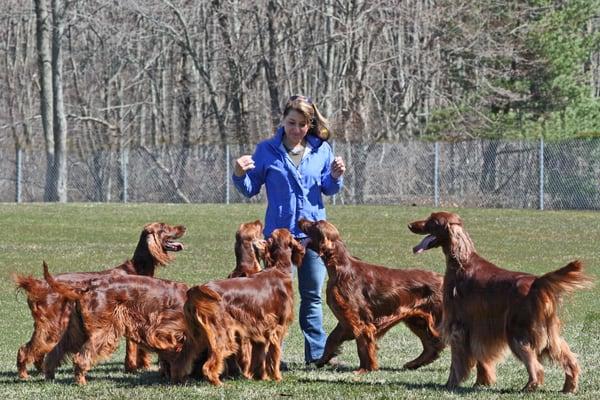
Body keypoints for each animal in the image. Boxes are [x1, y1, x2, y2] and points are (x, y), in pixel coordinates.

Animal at [11, 222, 184, 378]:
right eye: (165, 227)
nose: (183, 227)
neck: (136, 268)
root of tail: (38, 283)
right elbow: (134, 349)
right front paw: (135, 368)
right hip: (53, 326)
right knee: (27, 350)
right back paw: (25, 375)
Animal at [298, 219, 442, 372]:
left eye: (314, 224)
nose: (300, 219)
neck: (341, 269)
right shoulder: (345, 322)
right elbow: (331, 340)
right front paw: (321, 361)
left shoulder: (360, 322)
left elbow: (363, 346)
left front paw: (365, 369)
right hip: (417, 320)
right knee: (431, 346)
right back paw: (414, 363)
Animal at [410, 211, 592, 392]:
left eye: (432, 221)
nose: (410, 225)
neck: (462, 262)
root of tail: (536, 282)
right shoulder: (479, 328)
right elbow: (481, 358)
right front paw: (482, 382)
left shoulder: (458, 326)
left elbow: (457, 362)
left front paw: (451, 384)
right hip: (547, 333)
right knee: (568, 358)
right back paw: (569, 387)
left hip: (518, 331)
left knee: (536, 366)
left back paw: (529, 387)